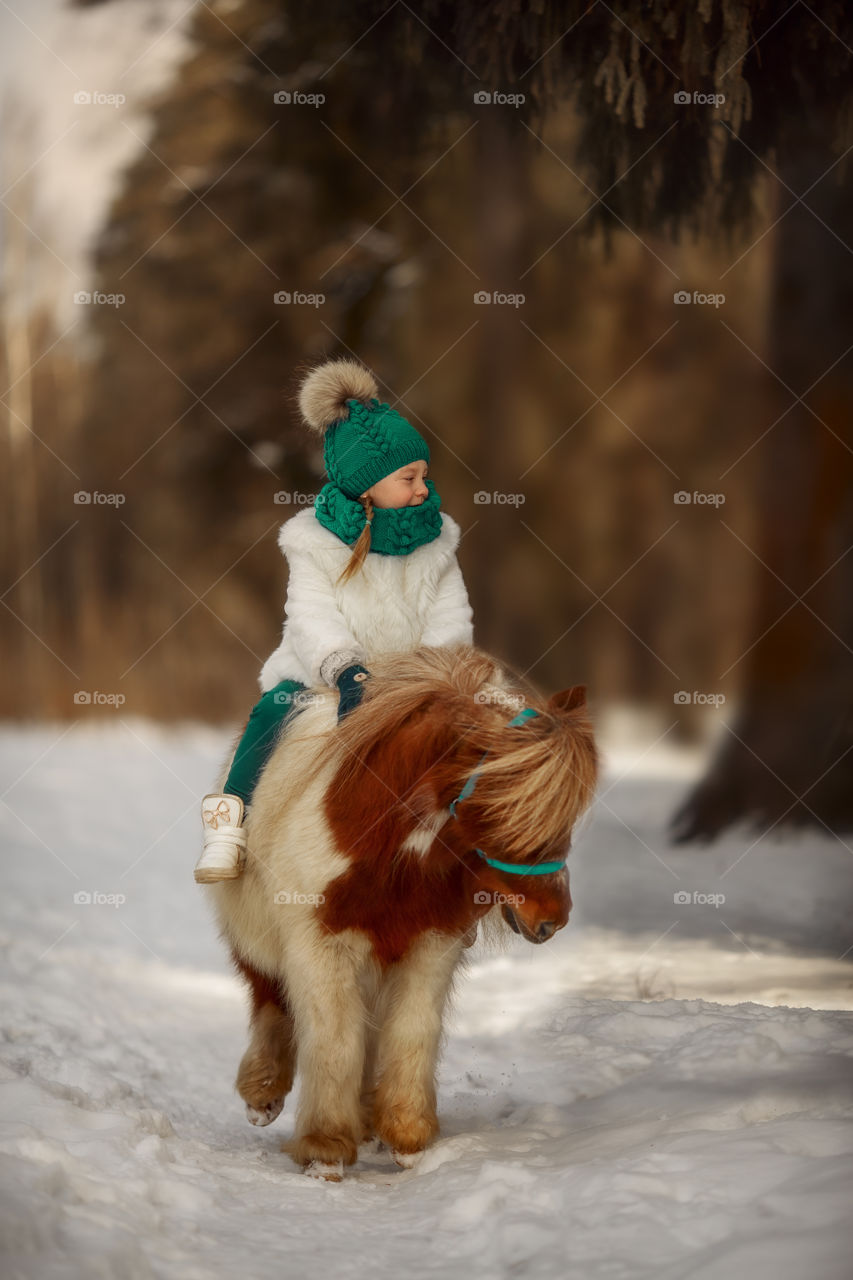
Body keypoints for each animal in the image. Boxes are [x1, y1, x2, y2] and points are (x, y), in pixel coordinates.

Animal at [202, 645, 594, 1182]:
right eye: (495, 807)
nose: (553, 916)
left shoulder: (430, 943)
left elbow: (412, 1032)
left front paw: (406, 1136)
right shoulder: (319, 946)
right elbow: (333, 1041)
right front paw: (326, 1148)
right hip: (262, 940)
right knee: (270, 997)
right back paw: (263, 1093)